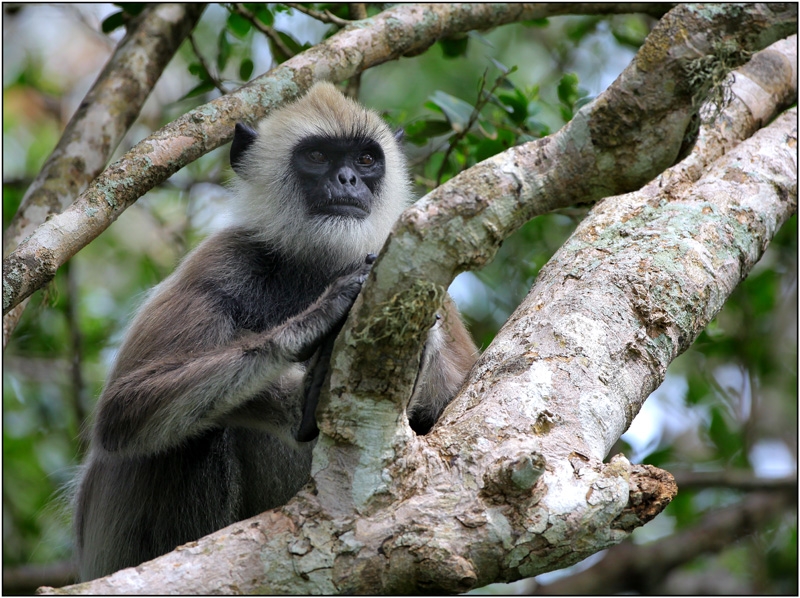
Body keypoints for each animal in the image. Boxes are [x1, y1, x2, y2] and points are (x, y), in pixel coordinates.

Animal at [73, 82, 476, 584]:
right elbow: (123, 406)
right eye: (318, 156)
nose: (348, 180)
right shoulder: (221, 261)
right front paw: (318, 329)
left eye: (366, 159)